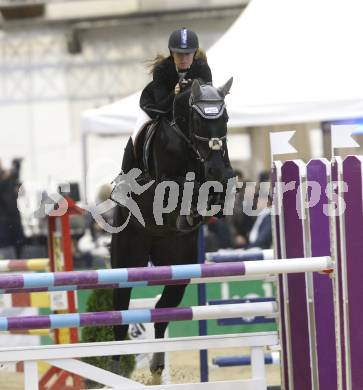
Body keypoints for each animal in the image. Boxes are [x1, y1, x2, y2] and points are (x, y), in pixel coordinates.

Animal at [111, 78, 235, 374]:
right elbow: (184, 186)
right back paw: (116, 366)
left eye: (225, 117)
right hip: (126, 260)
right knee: (120, 313)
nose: (213, 168)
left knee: (162, 311)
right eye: (198, 120)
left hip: (179, 268)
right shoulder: (164, 183)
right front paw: (190, 210)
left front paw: (209, 205)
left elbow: (221, 185)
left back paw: (157, 364)